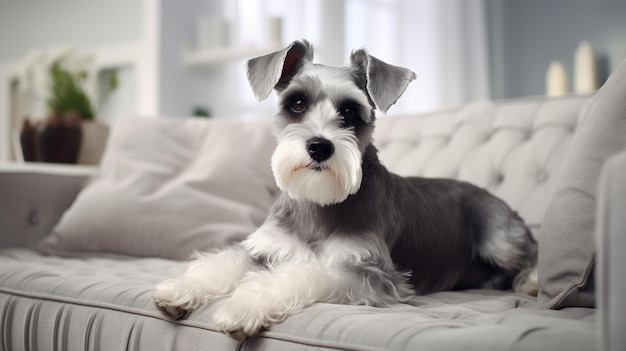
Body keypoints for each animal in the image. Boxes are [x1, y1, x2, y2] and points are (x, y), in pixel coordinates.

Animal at [152, 39, 536, 340]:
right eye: (297, 103)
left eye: (350, 111)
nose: (319, 146)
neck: (318, 203)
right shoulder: (262, 249)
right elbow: (225, 260)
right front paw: (179, 287)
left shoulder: (370, 272)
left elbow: (301, 273)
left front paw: (244, 306)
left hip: (500, 239)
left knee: (531, 252)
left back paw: (531, 281)